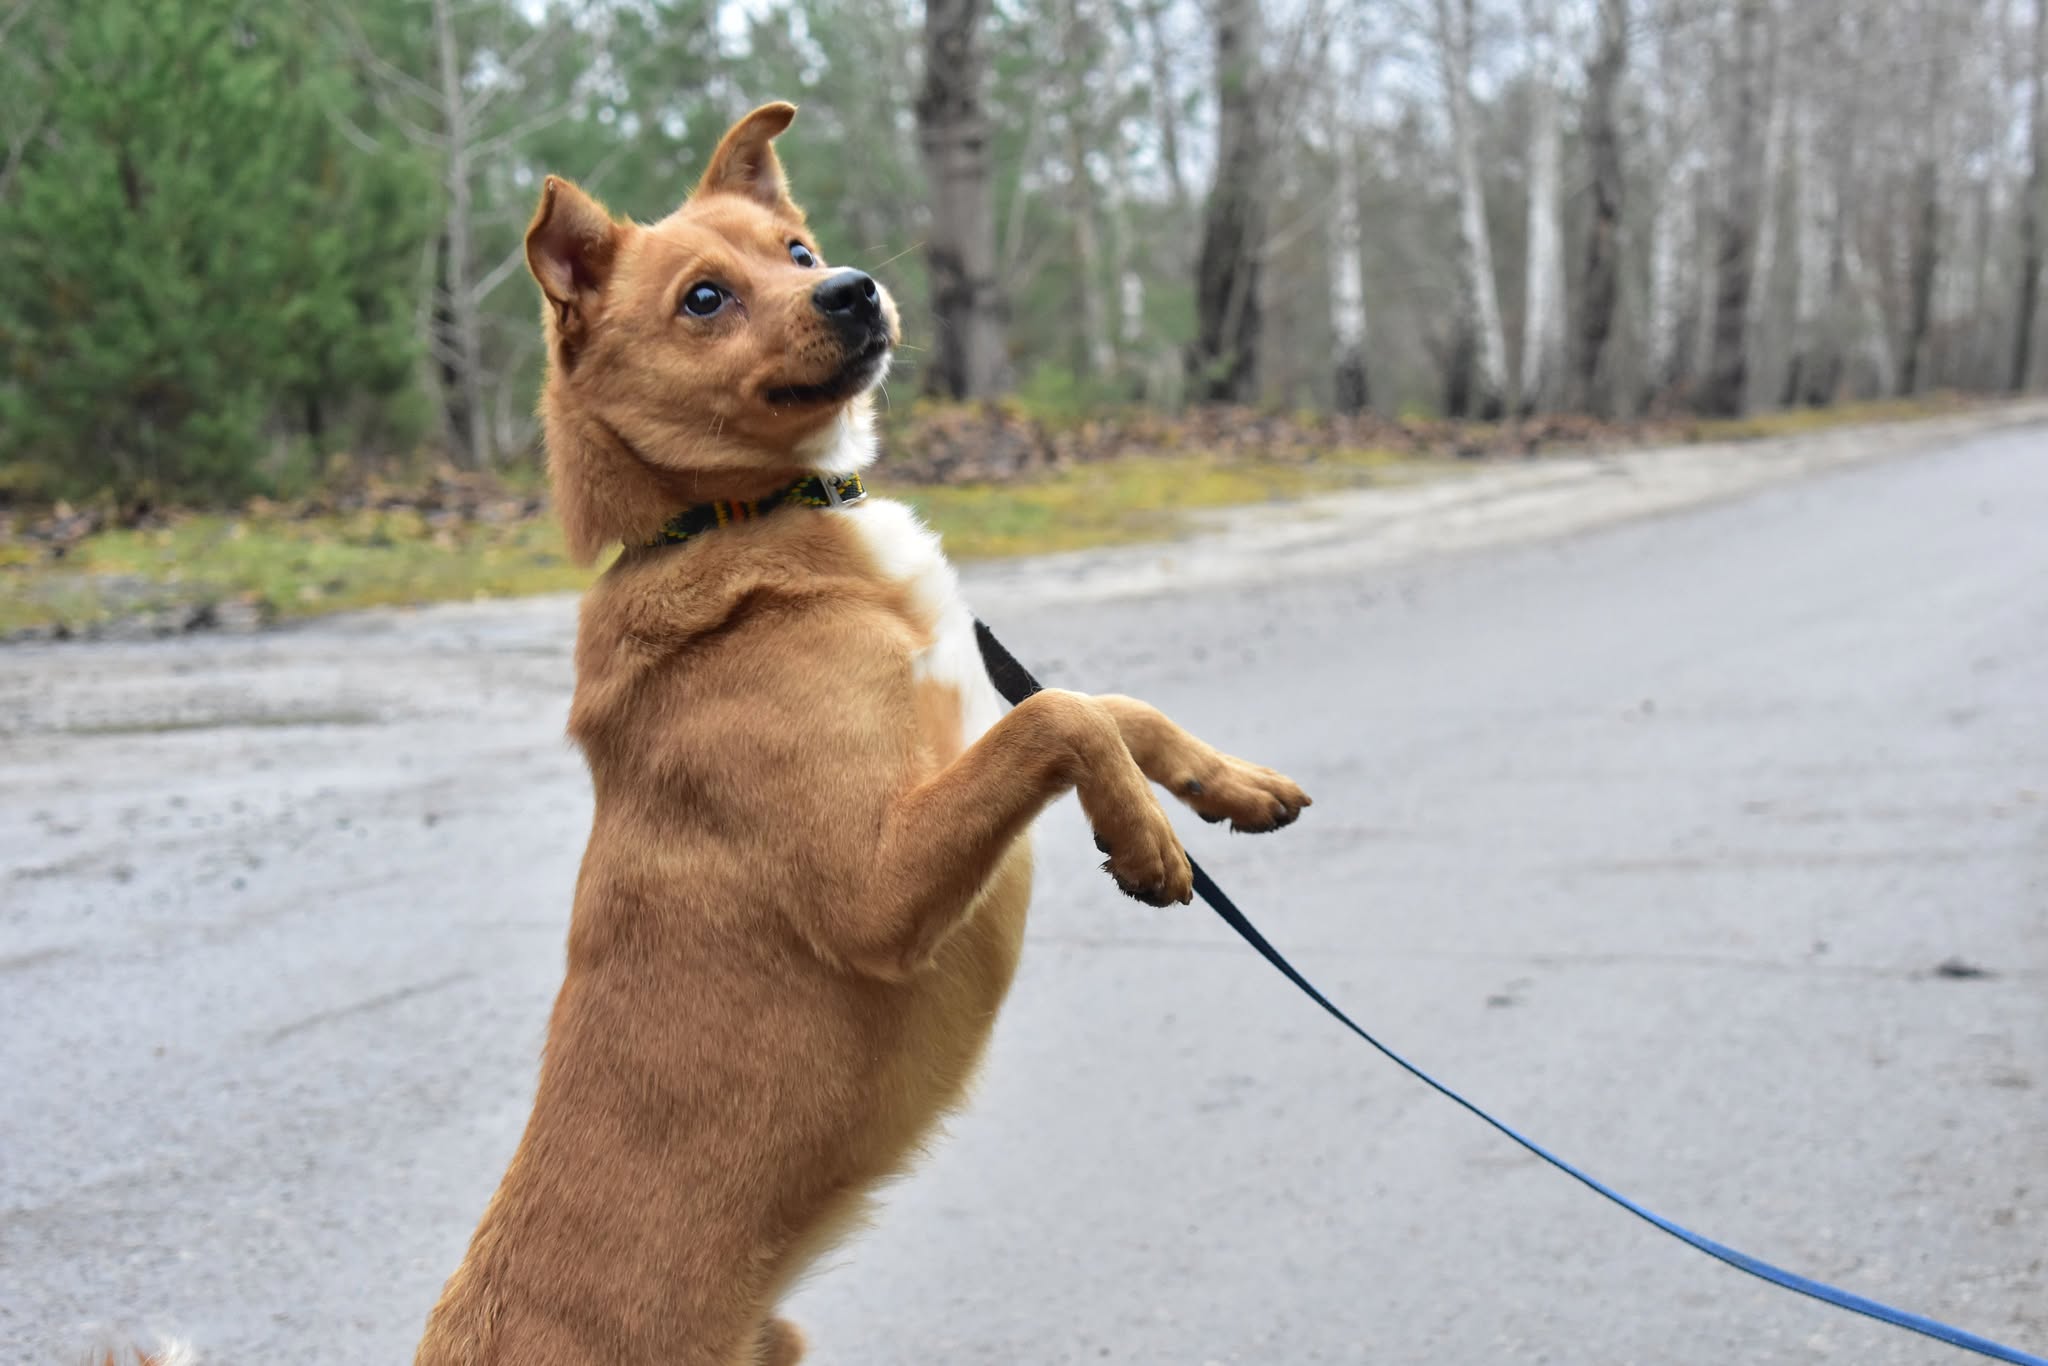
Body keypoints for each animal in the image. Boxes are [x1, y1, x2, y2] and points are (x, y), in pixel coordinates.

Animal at [415, 104, 1310, 1366]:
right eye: (703, 297)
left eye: (795, 250)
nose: (853, 287)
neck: (743, 520)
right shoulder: (873, 892)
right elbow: (1063, 715)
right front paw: (1143, 841)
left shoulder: (969, 716)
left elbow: (1106, 704)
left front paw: (1225, 785)